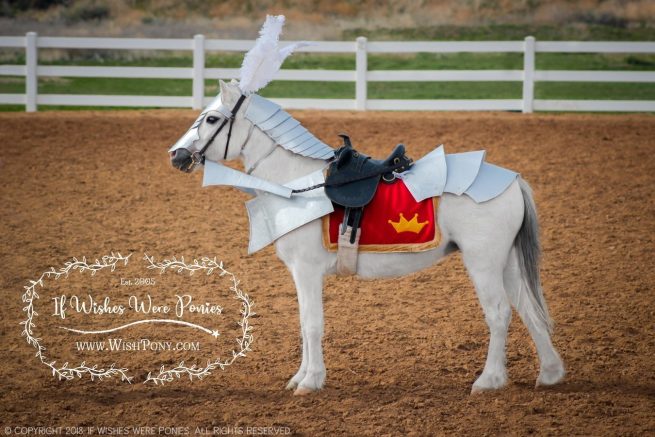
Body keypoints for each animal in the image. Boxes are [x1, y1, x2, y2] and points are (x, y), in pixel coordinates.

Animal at [169, 80, 565, 395]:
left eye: (212, 119)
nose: (177, 155)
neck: (298, 182)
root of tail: (512, 179)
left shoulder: (307, 271)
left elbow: (312, 324)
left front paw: (311, 381)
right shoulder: (300, 275)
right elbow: (302, 324)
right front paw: (299, 378)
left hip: (483, 263)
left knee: (499, 314)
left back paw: (489, 380)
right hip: (506, 263)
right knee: (528, 309)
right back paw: (549, 373)